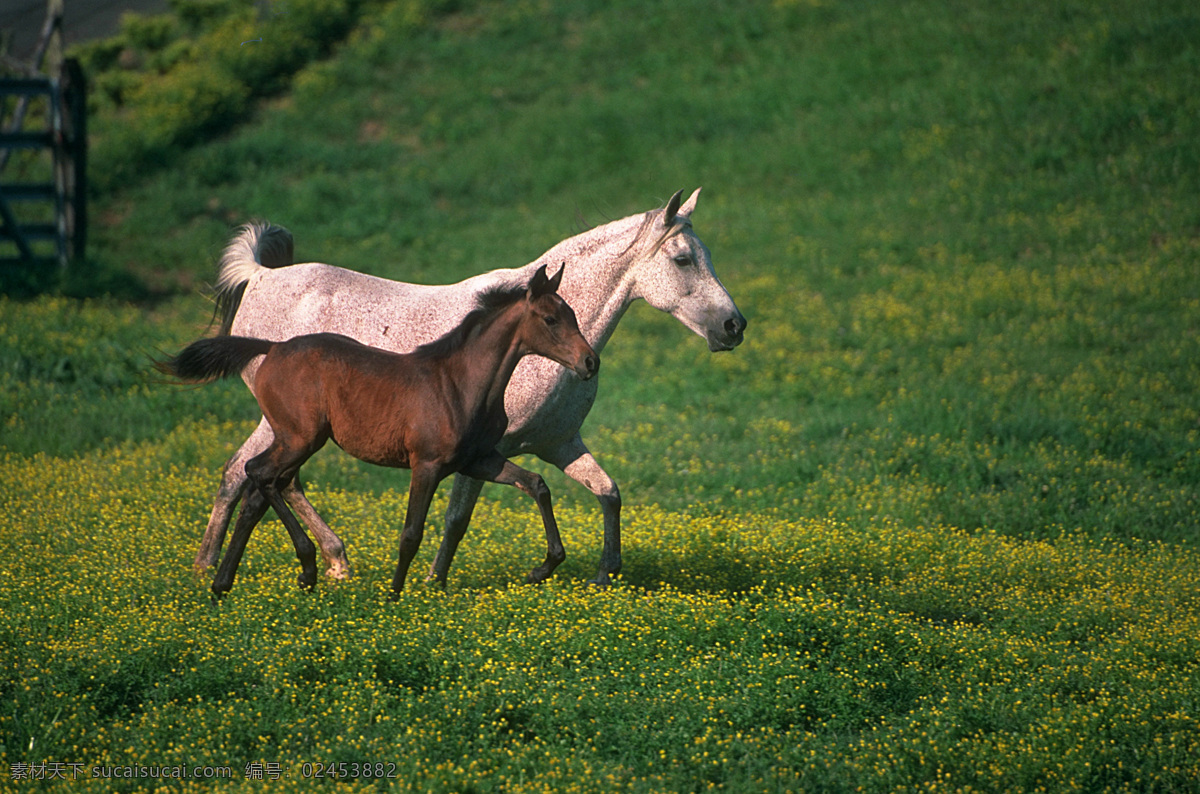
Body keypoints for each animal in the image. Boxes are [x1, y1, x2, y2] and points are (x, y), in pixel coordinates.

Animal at [159, 264, 598, 597]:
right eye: (550, 319)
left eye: (574, 316)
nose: (590, 362)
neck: (461, 383)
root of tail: (271, 348)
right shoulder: (426, 464)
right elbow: (411, 533)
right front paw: (394, 595)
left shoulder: (479, 460)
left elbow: (537, 484)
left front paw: (543, 568)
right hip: (300, 437)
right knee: (258, 474)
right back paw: (302, 568)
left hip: (295, 440)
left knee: (261, 489)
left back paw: (229, 584)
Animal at [199, 188, 746, 586]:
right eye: (682, 259)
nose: (734, 326)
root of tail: (260, 277)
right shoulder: (481, 453)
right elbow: (457, 519)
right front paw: (432, 582)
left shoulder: (559, 444)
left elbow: (608, 493)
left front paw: (604, 575)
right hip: (289, 425)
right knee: (248, 473)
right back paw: (220, 567)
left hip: (292, 427)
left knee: (264, 476)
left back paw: (321, 563)